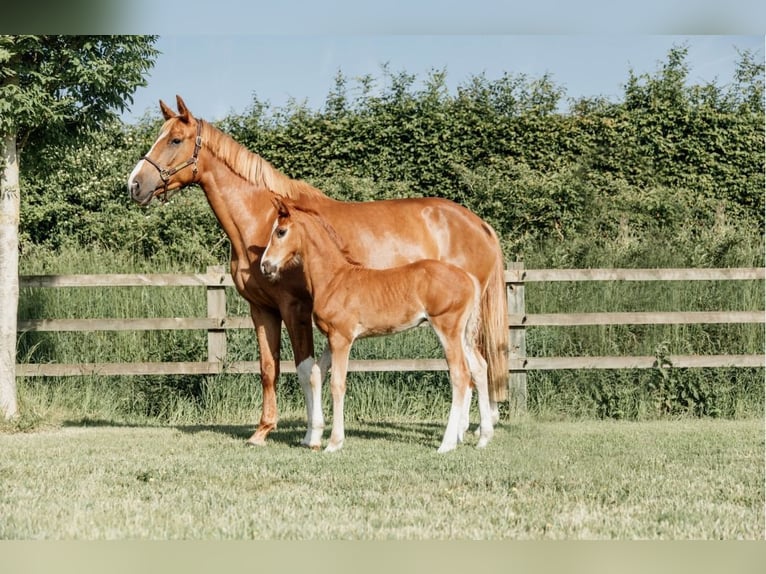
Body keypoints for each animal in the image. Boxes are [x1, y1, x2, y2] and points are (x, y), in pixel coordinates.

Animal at [260, 198, 496, 454]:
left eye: (281, 231)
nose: (265, 266)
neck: (334, 278)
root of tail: (469, 278)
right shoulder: (333, 339)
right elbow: (317, 374)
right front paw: (313, 438)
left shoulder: (342, 338)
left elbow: (337, 384)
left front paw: (334, 443)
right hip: (463, 334)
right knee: (479, 367)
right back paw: (484, 438)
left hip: (447, 328)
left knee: (460, 375)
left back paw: (447, 443)